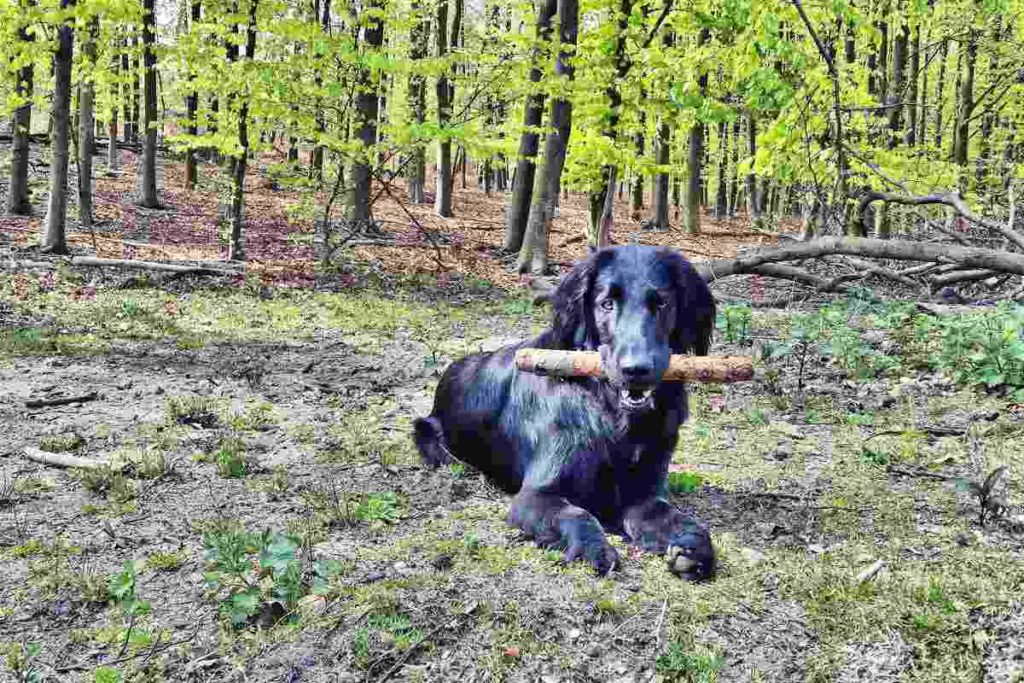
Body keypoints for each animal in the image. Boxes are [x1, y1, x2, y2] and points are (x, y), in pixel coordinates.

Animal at [411, 246, 716, 581]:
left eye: (661, 303)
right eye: (606, 304)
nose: (636, 370)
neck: (611, 413)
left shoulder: (645, 493)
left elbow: (678, 518)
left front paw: (694, 548)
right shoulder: (535, 496)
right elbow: (576, 514)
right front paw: (595, 550)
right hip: (426, 430)